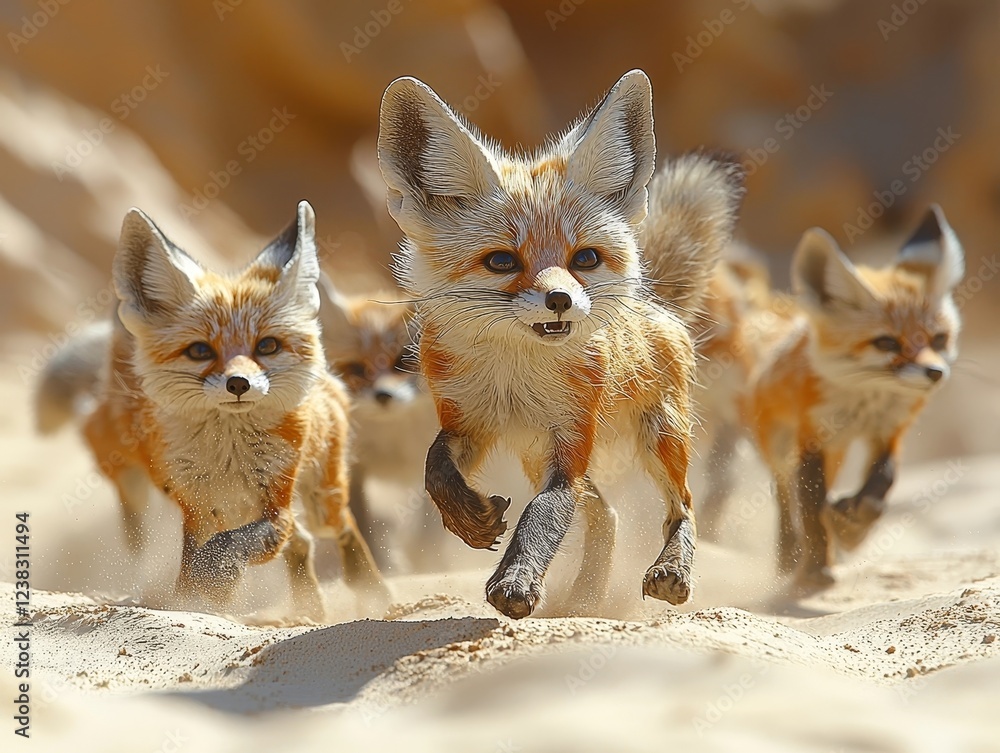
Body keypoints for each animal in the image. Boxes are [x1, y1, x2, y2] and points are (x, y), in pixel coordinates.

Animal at [58, 200, 384, 618]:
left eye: (267, 346)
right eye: (200, 351)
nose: (238, 384)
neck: (229, 456)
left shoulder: (275, 502)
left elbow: (233, 546)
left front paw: (214, 587)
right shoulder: (196, 507)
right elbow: (198, 560)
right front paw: (194, 602)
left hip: (320, 499)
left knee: (338, 529)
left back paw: (373, 592)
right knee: (302, 543)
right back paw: (309, 609)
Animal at [376, 69, 743, 618]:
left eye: (584, 258)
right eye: (502, 261)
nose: (560, 300)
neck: (514, 374)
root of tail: (657, 307)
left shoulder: (569, 443)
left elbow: (542, 517)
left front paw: (516, 580)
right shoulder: (468, 421)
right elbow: (435, 470)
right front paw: (469, 519)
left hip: (661, 437)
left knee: (683, 506)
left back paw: (669, 571)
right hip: (538, 456)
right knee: (608, 516)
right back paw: (585, 599)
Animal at [733, 206, 964, 589]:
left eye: (939, 339)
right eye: (886, 343)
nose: (935, 372)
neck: (866, 402)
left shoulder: (889, 432)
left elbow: (880, 488)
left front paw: (851, 527)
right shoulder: (812, 438)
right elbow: (811, 509)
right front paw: (815, 567)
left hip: (836, 452)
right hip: (779, 446)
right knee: (784, 496)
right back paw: (789, 556)